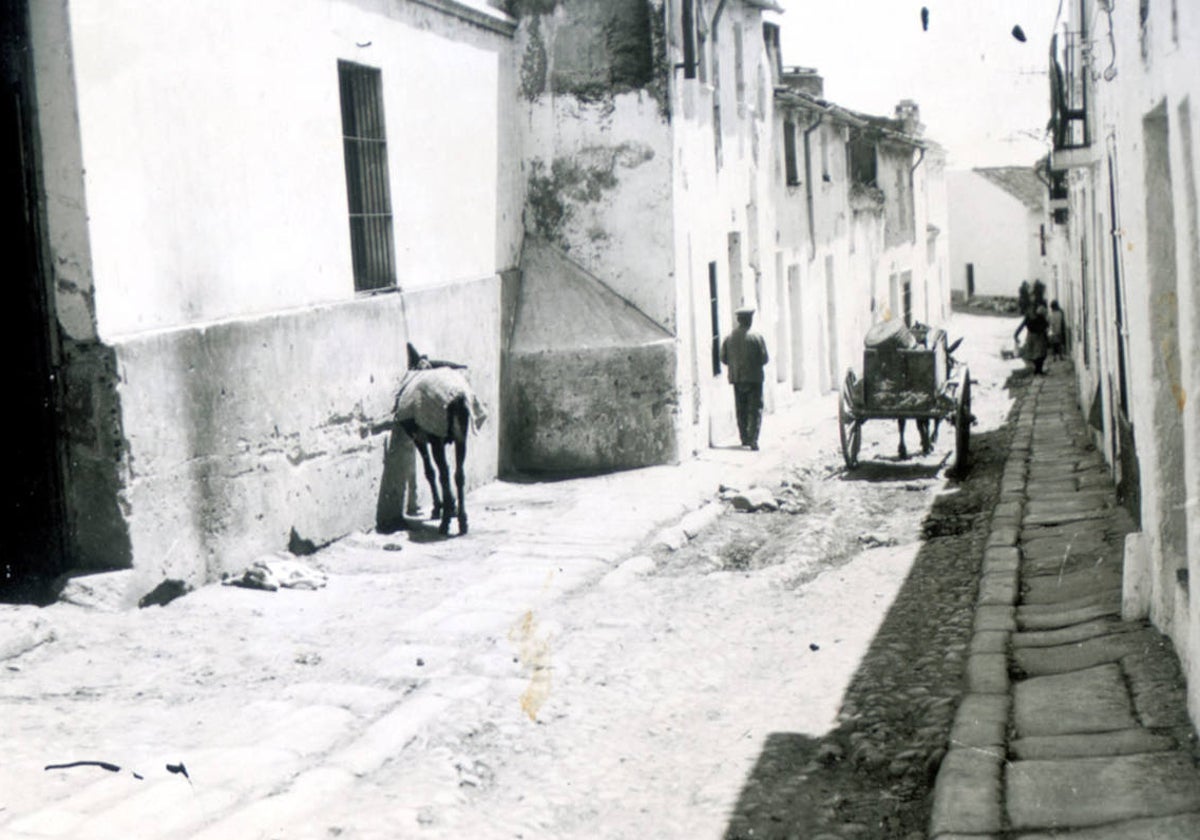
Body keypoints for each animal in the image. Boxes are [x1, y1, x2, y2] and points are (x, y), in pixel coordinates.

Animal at [396, 345, 484, 535]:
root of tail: (458, 397)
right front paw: (450, 506)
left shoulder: (420, 438)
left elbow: (429, 471)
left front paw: (439, 508)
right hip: (461, 436)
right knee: (459, 474)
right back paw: (462, 520)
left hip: (436, 433)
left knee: (444, 472)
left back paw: (445, 522)